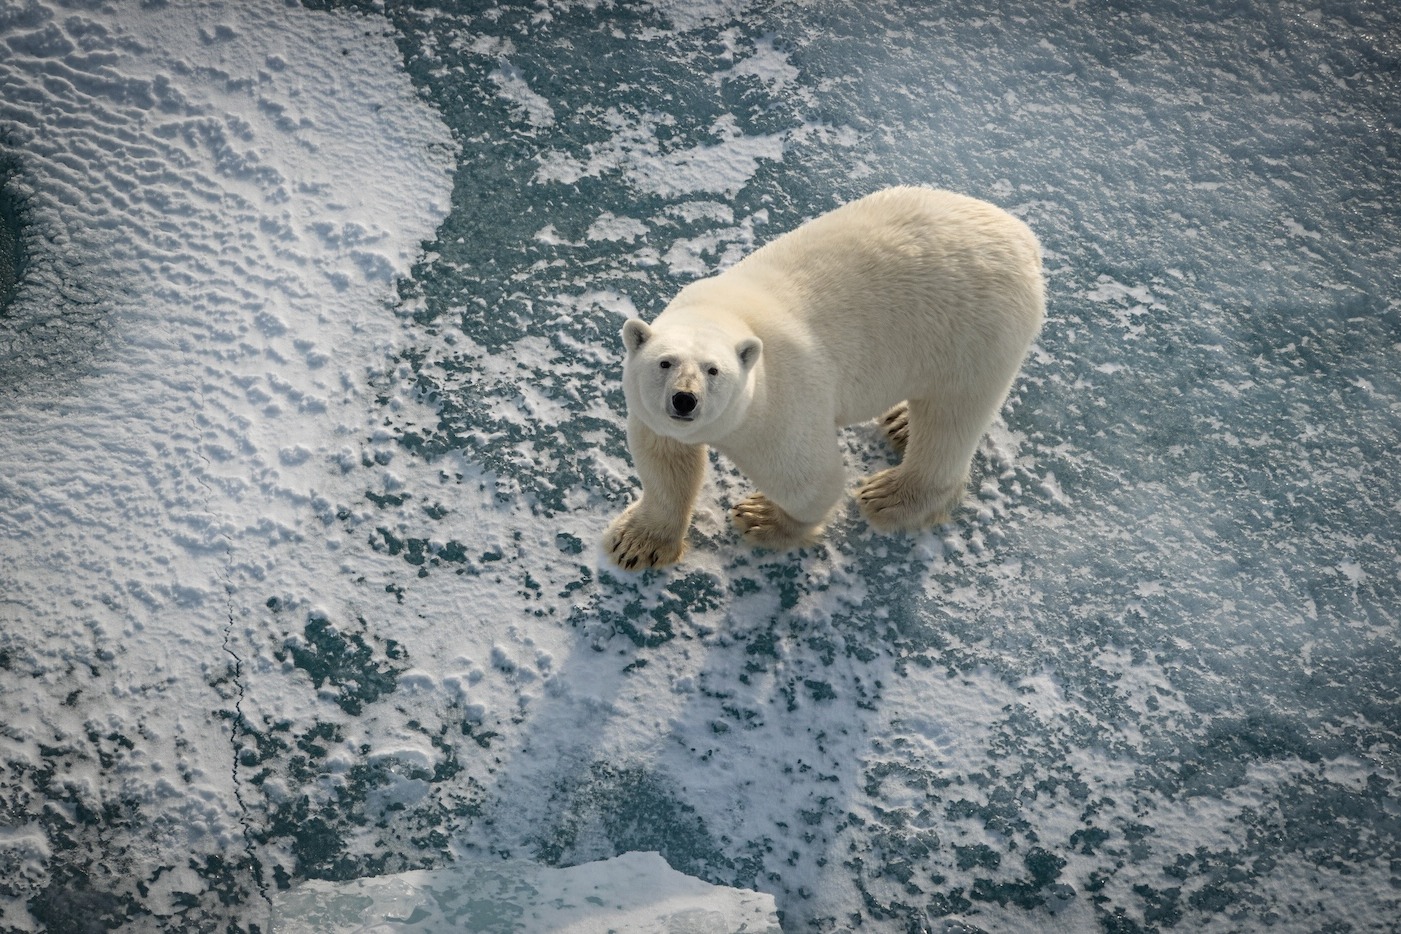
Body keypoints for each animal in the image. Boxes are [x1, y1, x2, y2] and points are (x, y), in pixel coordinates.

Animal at [603, 186, 1044, 570]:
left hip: (973, 334)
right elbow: (665, 460)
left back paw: (889, 495)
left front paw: (762, 517)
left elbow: (809, 480)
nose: (684, 399)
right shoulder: (658, 417)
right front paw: (635, 544)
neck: (724, 313)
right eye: (665, 363)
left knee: (951, 419)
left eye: (714, 370)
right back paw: (901, 422)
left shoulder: (781, 400)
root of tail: (1024, 237)